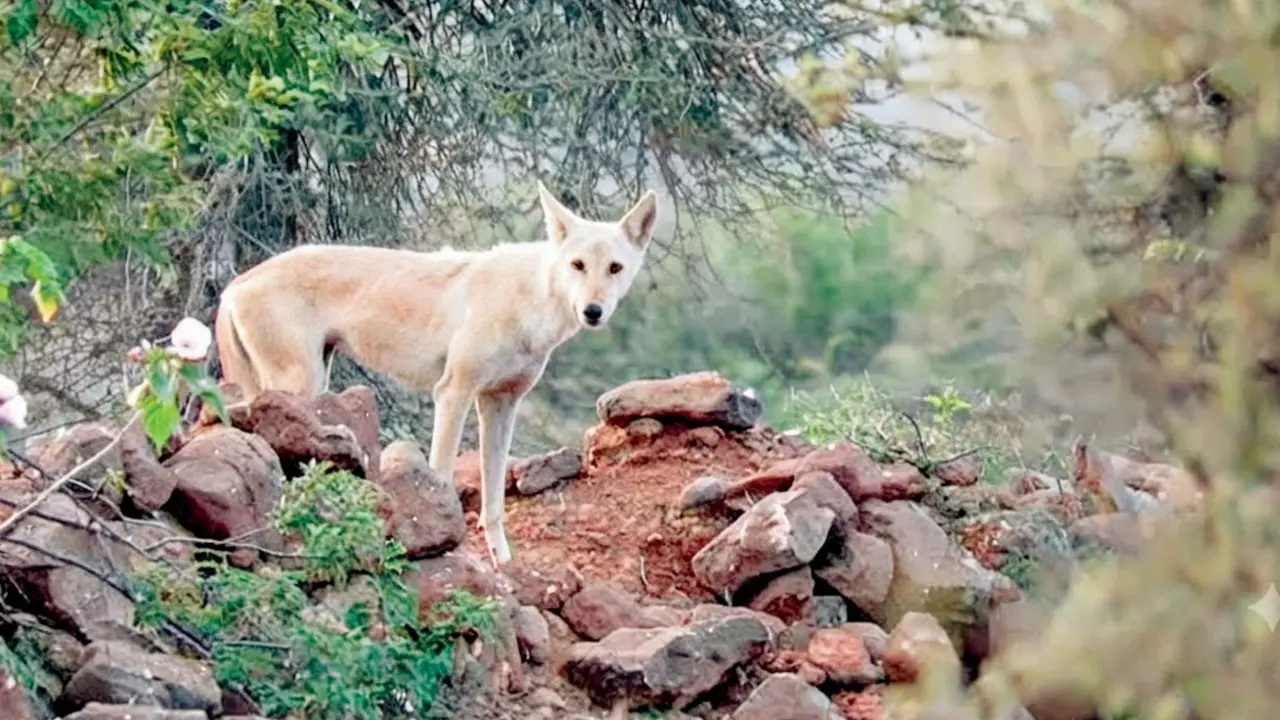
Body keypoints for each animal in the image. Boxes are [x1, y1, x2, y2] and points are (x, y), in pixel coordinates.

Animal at [214, 182, 660, 566]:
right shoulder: (453, 393)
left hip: (311, 382)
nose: (593, 311)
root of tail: (236, 283)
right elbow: (442, 476)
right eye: (578, 265)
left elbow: (494, 502)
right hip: (298, 383)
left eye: (615, 268)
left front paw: (503, 564)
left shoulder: (500, 406)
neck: (530, 301)